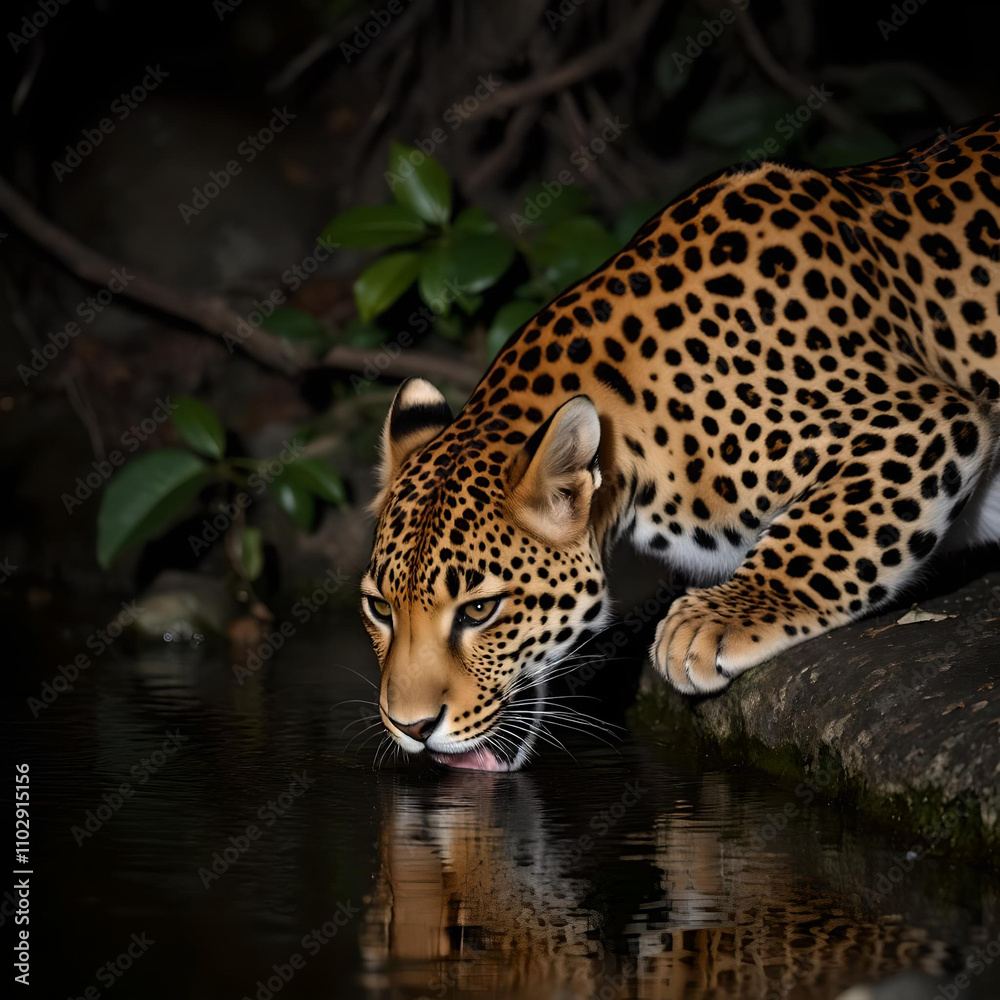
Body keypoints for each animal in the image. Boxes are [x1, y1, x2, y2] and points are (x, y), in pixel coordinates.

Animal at [361, 112, 1000, 772]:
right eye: (380, 609)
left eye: (480, 610)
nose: (410, 726)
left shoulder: (921, 419)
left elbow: (823, 533)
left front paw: (715, 618)